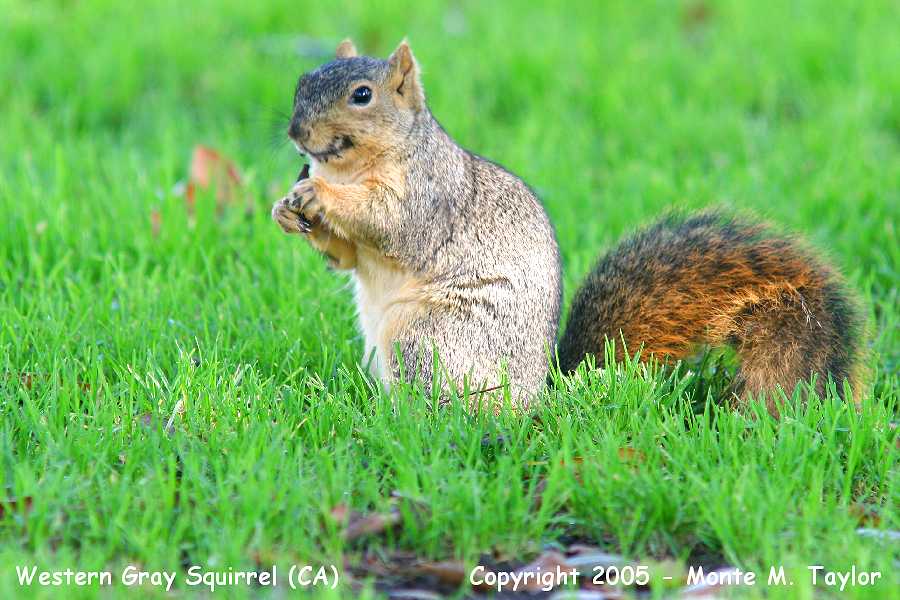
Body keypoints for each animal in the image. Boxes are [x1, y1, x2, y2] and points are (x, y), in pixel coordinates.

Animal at [272, 39, 865, 410]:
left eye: (362, 95)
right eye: (300, 81)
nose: (297, 133)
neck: (350, 167)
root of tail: (539, 394)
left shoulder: (428, 196)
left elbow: (390, 224)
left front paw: (318, 195)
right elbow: (345, 258)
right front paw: (286, 209)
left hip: (433, 337)